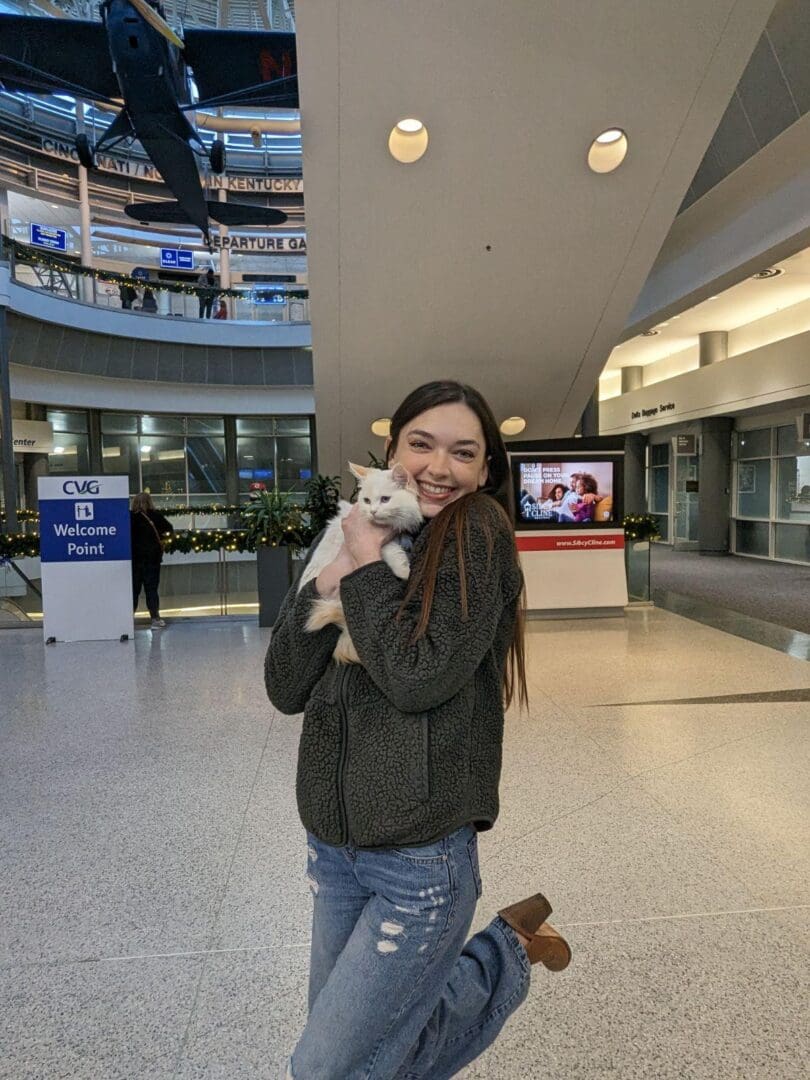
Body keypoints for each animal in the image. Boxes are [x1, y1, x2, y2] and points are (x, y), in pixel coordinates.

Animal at [298, 460, 425, 660]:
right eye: (366, 501)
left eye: (385, 499)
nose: (372, 511)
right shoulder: (379, 543)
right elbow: (394, 553)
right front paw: (405, 571)